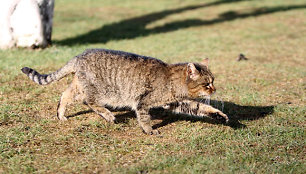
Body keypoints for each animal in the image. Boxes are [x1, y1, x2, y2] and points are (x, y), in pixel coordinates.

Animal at [21, 48, 227, 135]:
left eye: (213, 81)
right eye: (207, 84)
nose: (215, 89)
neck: (171, 80)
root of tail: (79, 56)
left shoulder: (178, 103)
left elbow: (201, 108)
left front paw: (219, 115)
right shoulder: (143, 102)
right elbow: (144, 119)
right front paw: (149, 130)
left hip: (79, 85)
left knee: (65, 95)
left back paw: (61, 115)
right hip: (99, 91)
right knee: (88, 101)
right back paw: (108, 115)